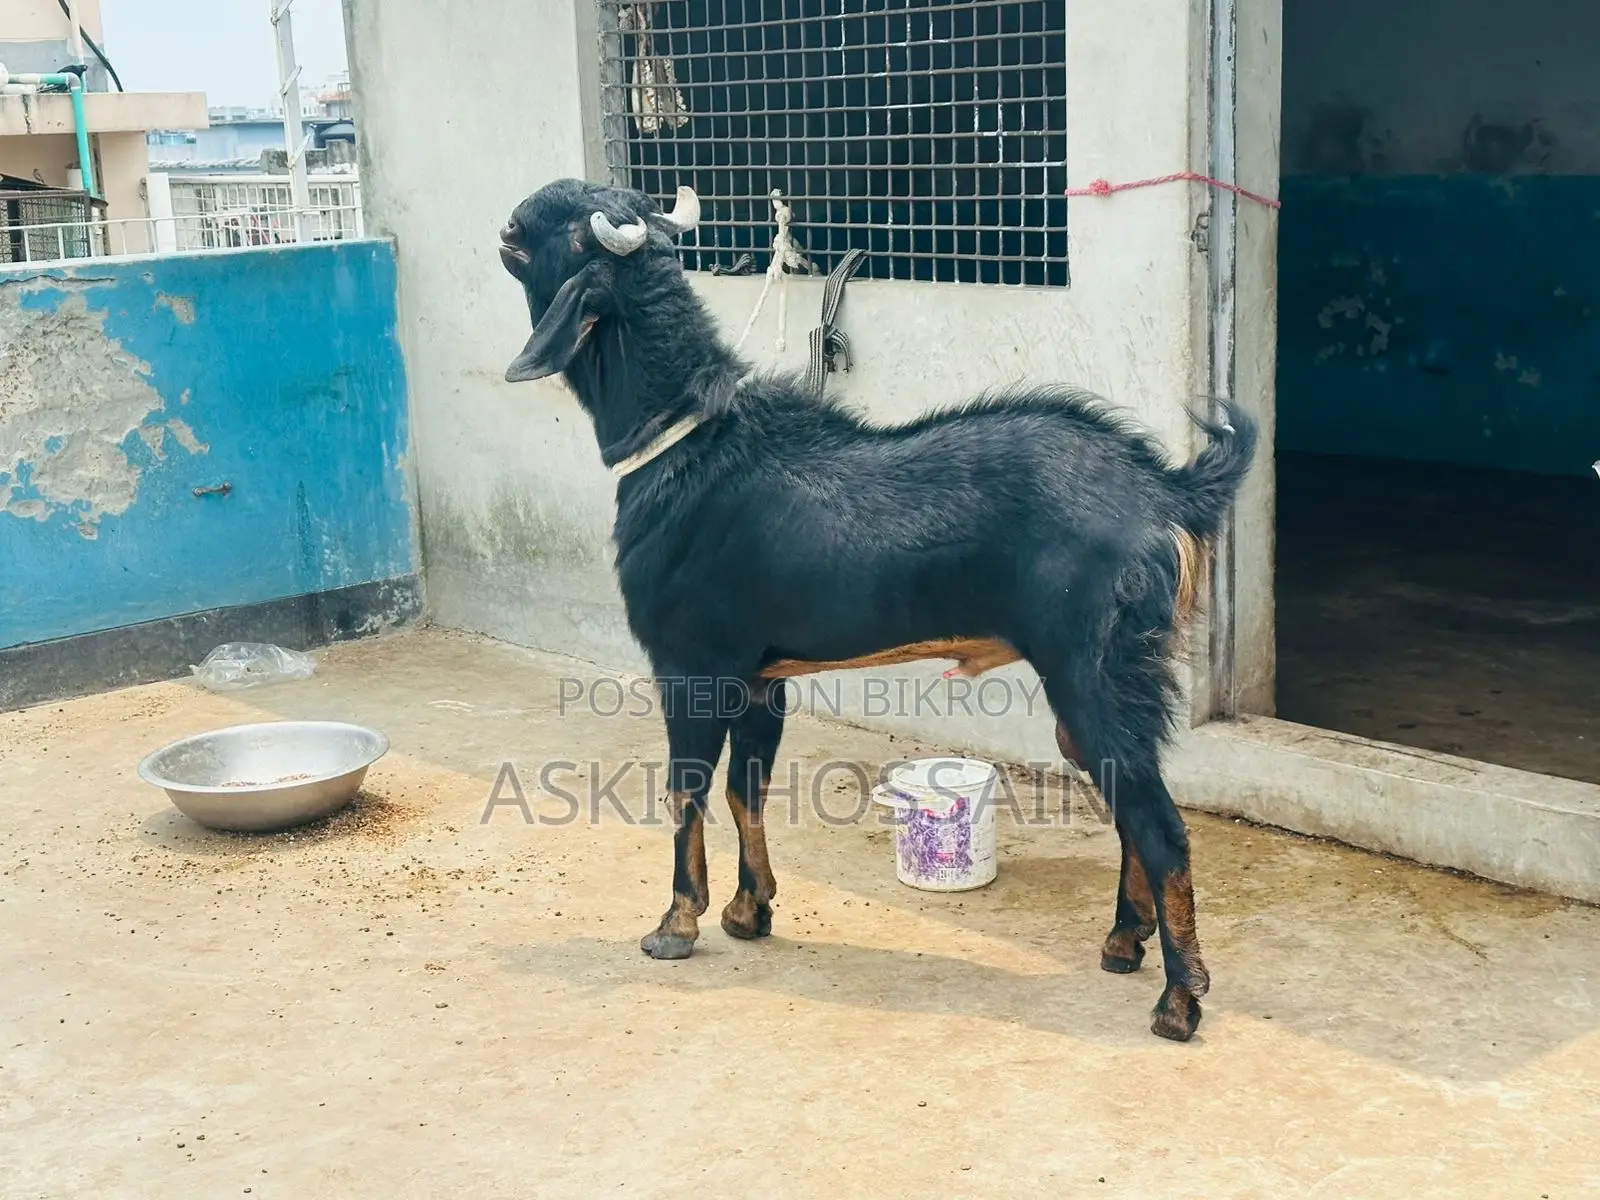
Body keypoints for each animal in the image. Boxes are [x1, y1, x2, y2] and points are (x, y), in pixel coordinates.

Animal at [497, 178, 1258, 1042]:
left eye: (556, 228)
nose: (512, 219)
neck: (688, 438)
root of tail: (1166, 490)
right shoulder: (760, 678)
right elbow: (746, 791)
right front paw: (749, 910)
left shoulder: (691, 664)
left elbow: (685, 790)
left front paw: (676, 923)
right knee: (1130, 801)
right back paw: (1125, 942)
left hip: (1095, 669)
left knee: (1159, 823)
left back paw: (1180, 999)